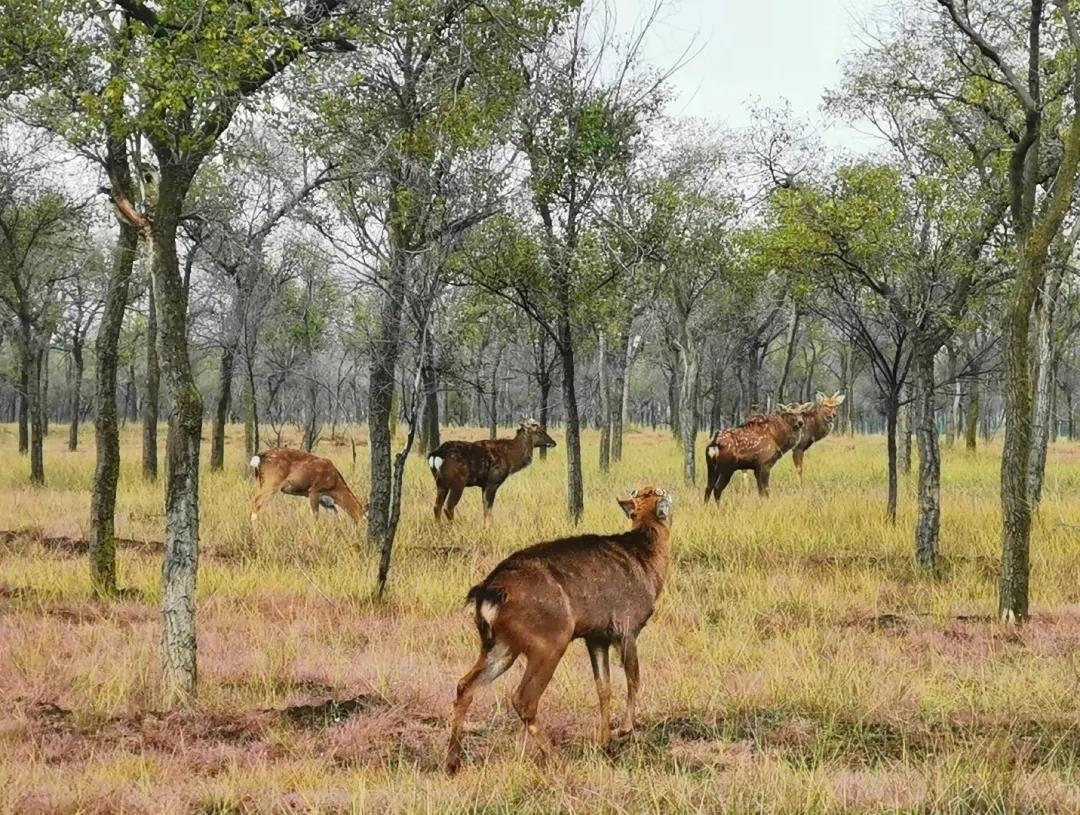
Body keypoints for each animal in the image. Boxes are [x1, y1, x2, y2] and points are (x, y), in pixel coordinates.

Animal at [427, 418, 556, 523]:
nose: (553, 442)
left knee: (437, 506)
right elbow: (489, 509)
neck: (510, 458)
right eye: (540, 431)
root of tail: (436, 455)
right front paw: (488, 528)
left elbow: (485, 508)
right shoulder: (493, 481)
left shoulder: (484, 485)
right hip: (458, 482)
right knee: (448, 507)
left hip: (440, 483)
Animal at [445, 486, 674, 774]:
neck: (646, 560)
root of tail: (487, 593)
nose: (668, 492)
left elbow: (603, 687)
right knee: (523, 698)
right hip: (549, 641)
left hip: (502, 646)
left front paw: (604, 742)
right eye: (657, 492)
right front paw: (624, 730)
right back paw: (555, 758)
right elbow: (634, 678)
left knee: (465, 686)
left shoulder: (596, 636)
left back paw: (452, 761)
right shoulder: (627, 627)